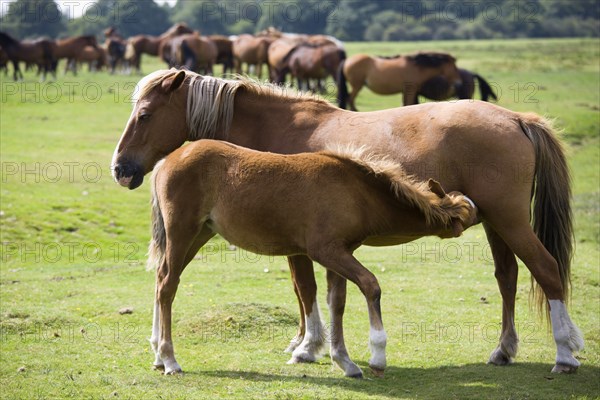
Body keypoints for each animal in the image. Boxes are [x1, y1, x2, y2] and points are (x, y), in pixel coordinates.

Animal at [146, 139, 478, 376]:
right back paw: (170, 359)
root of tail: (168, 159)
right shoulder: (326, 251)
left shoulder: (342, 252)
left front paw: (344, 361)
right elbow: (370, 285)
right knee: (168, 285)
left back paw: (158, 356)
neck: (356, 191)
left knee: (161, 280)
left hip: (199, 235)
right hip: (182, 232)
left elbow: (337, 302)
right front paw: (377, 355)